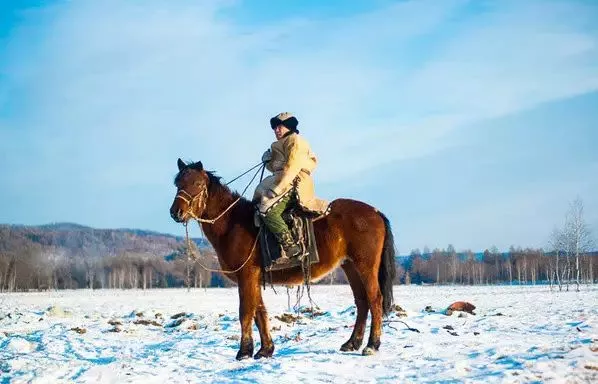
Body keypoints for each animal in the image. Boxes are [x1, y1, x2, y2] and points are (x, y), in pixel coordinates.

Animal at [170, 158, 398, 358]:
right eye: (178, 183)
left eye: (197, 183)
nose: (176, 212)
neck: (231, 224)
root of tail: (375, 212)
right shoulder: (254, 278)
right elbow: (259, 312)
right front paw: (265, 350)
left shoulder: (246, 276)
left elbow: (246, 312)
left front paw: (244, 352)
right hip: (350, 266)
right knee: (362, 302)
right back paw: (352, 342)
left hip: (365, 266)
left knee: (375, 300)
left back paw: (372, 345)